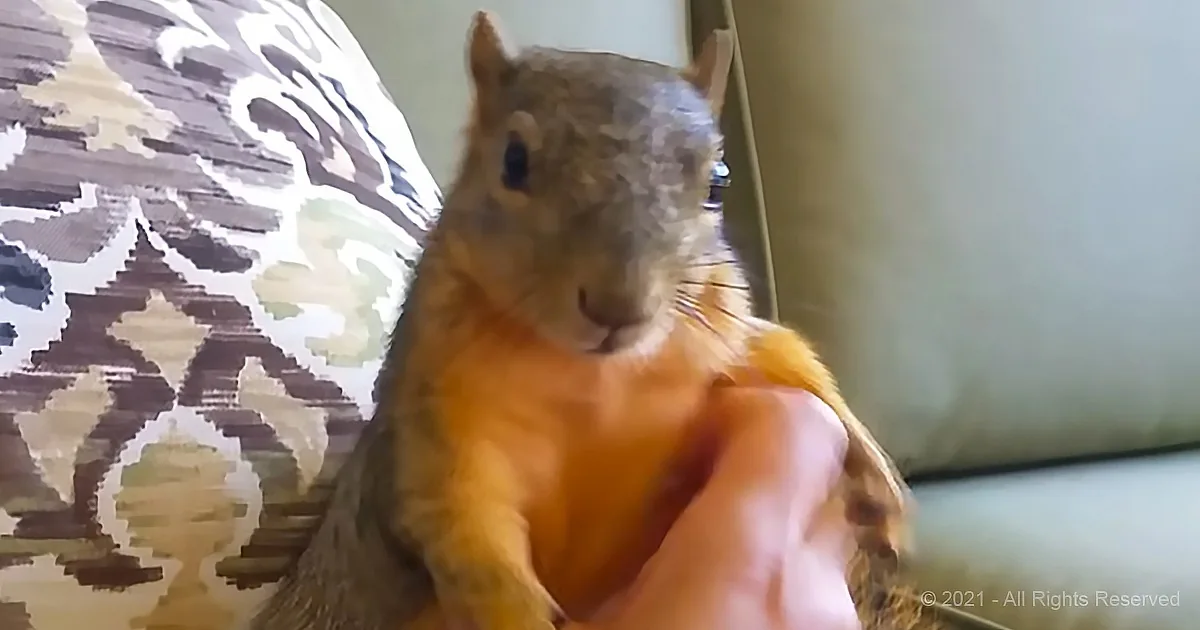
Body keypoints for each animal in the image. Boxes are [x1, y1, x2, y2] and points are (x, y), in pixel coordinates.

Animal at [250, 10, 909, 630]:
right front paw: (514, 611)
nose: (618, 309)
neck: (593, 379)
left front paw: (874, 474)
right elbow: (464, 525)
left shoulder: (714, 343)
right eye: (513, 161)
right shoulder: (435, 426)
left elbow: (780, 350)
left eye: (718, 184)